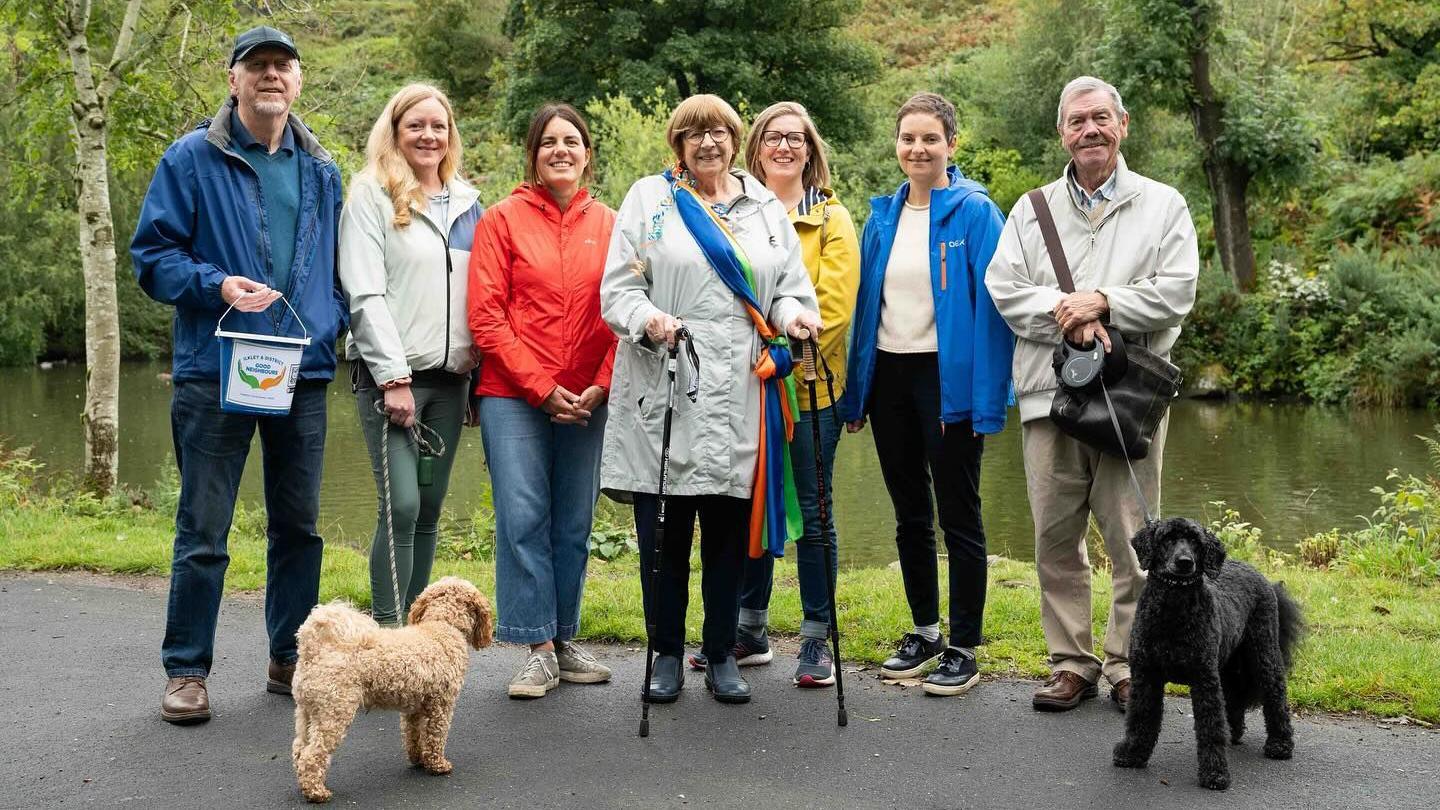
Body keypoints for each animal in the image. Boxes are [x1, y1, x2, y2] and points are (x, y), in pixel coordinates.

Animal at [290, 573, 495, 801]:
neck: (442, 625)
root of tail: (313, 649)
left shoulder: (414, 709)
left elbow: (413, 736)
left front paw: (418, 759)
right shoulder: (441, 706)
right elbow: (435, 737)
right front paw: (437, 765)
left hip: (307, 711)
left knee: (299, 749)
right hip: (334, 712)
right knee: (312, 755)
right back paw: (316, 792)